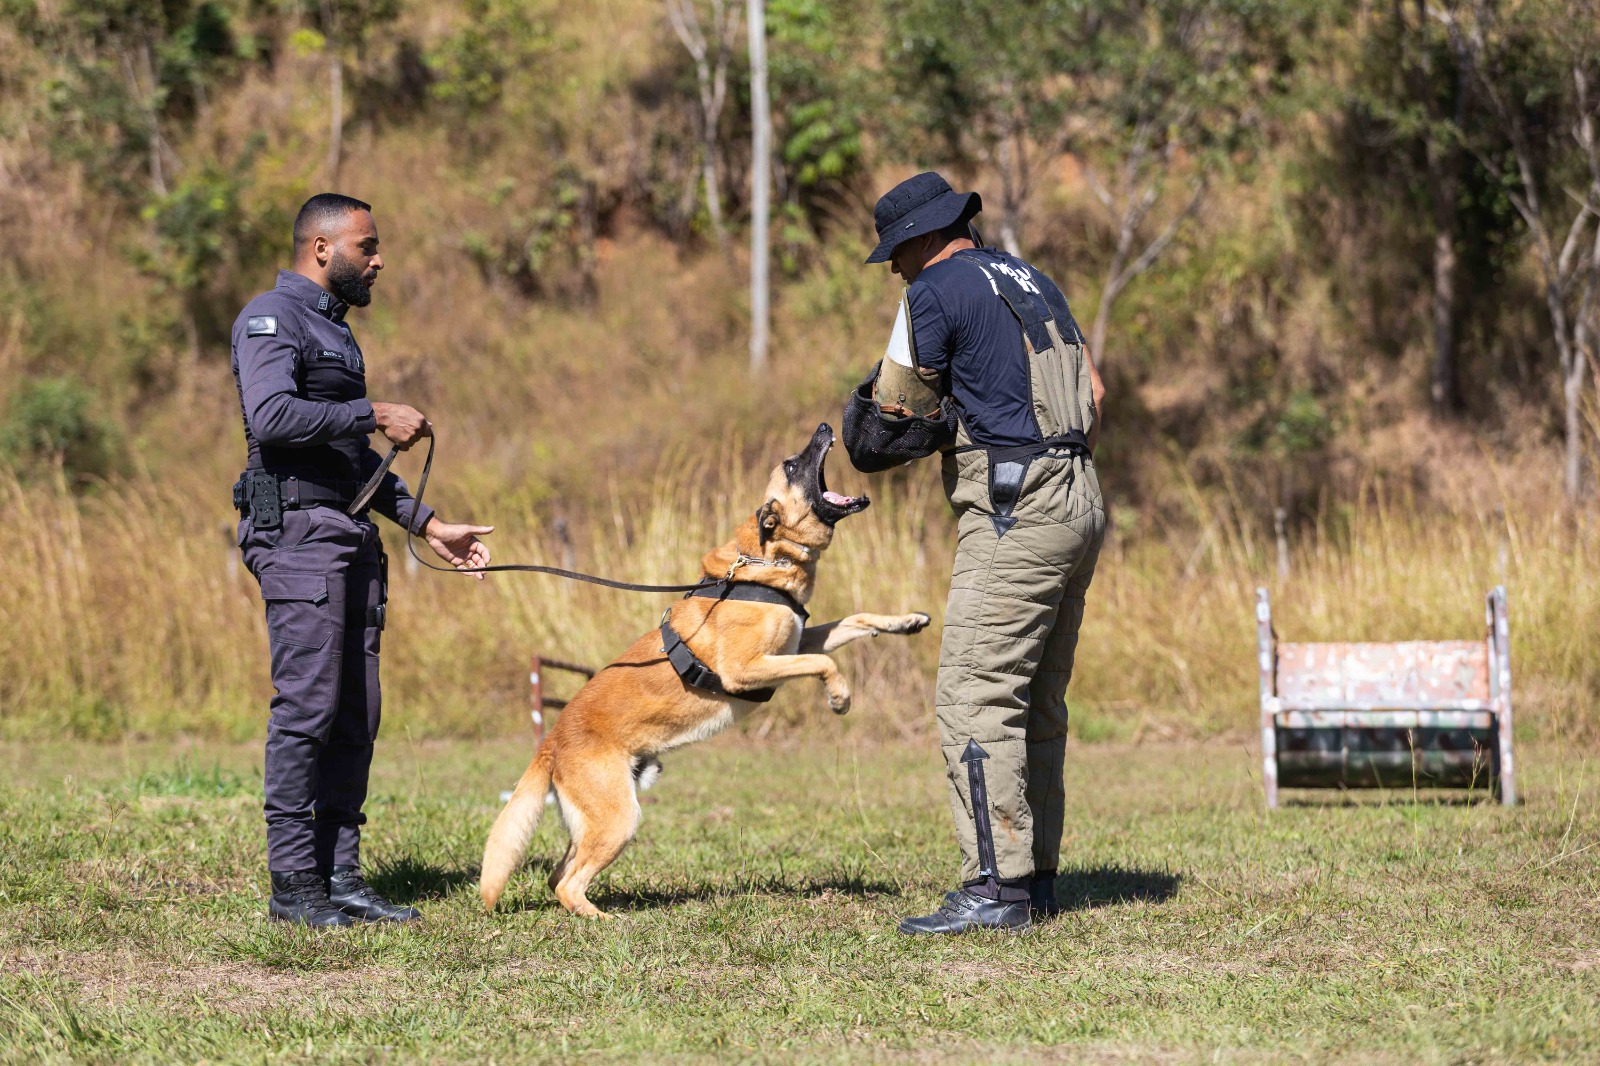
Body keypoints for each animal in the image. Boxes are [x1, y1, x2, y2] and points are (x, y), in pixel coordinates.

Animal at [476, 422, 928, 915]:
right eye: (792, 466)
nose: (827, 427)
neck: (766, 559)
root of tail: (550, 743)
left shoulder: (796, 639)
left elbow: (854, 621)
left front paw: (906, 622)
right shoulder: (746, 668)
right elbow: (823, 660)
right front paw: (840, 696)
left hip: (595, 821)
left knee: (558, 874)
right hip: (619, 818)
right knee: (567, 883)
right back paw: (603, 918)